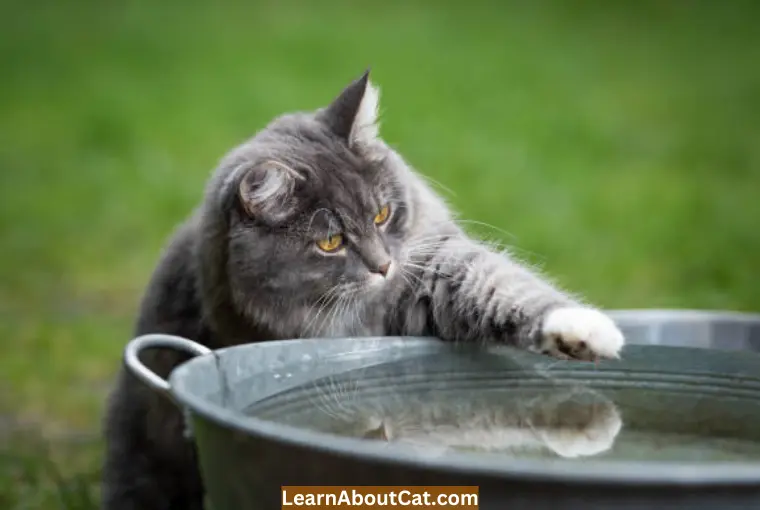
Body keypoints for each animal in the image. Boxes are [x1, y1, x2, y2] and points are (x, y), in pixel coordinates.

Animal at [101, 68, 624, 510]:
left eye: (381, 215)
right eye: (330, 242)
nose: (383, 265)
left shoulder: (430, 271)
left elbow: (499, 285)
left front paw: (584, 333)